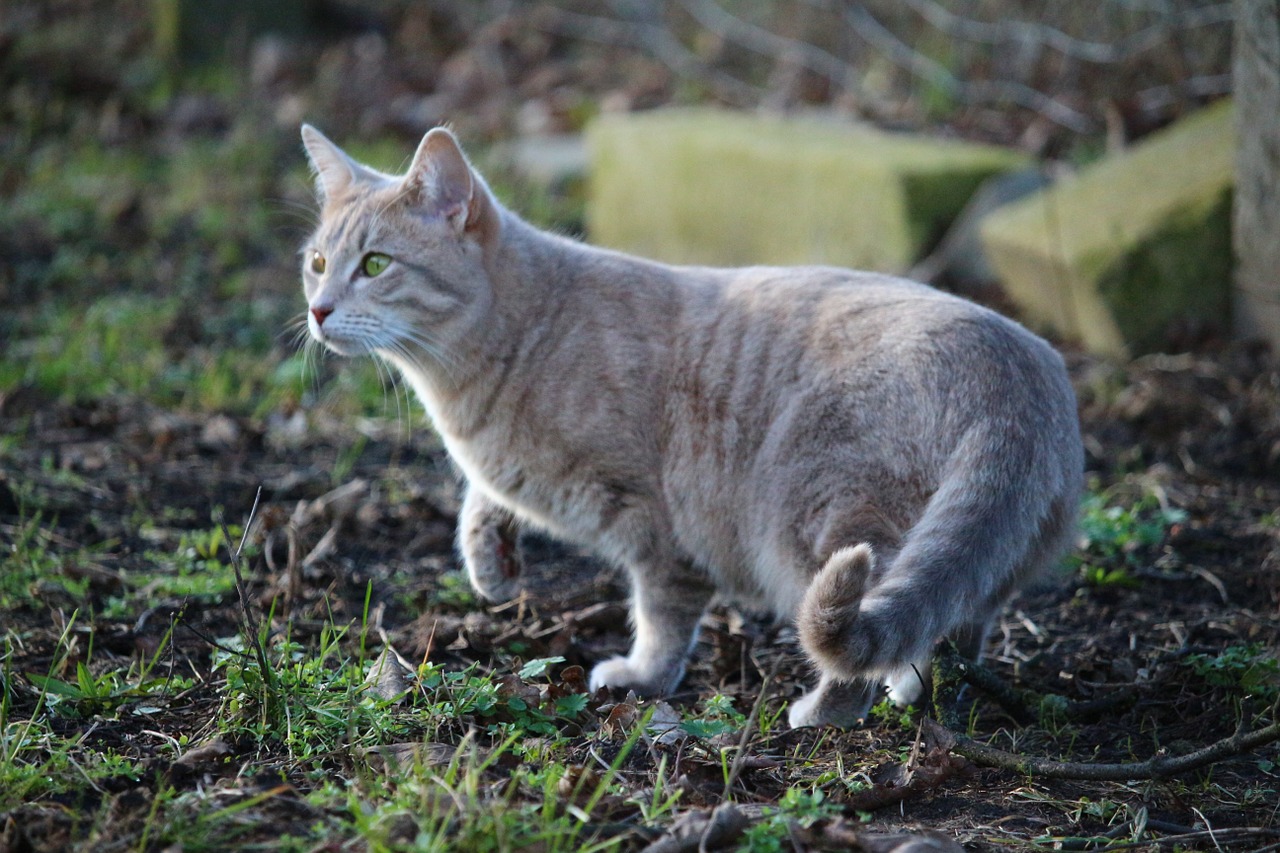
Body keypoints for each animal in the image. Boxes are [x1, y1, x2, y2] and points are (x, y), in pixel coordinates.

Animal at [296, 122, 1080, 727]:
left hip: (821, 518)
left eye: (375, 264)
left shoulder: (654, 525)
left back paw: (823, 711)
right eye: (318, 262)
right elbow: (479, 503)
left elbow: (661, 617)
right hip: (979, 557)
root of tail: (1019, 374)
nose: (318, 309)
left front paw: (640, 678)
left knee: (856, 632)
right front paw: (490, 560)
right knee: (947, 622)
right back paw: (917, 688)